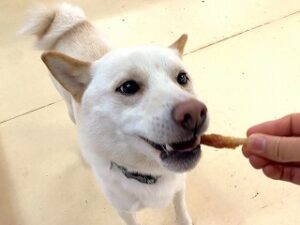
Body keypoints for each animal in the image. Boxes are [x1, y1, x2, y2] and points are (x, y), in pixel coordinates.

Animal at [20, 3, 209, 225]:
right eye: (128, 87)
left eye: (182, 78)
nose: (195, 112)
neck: (148, 174)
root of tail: (71, 26)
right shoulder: (124, 211)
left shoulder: (178, 188)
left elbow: (180, 207)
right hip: (69, 108)